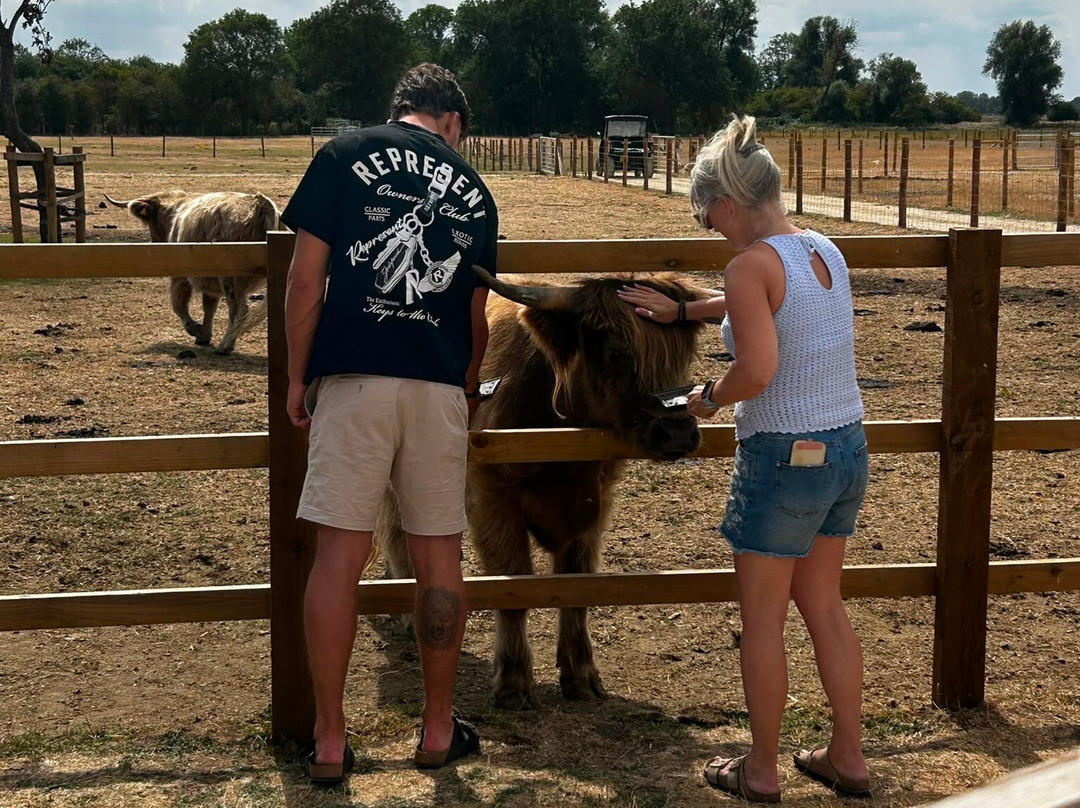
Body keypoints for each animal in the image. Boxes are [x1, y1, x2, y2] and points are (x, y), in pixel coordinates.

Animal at [104, 190, 280, 353]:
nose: (153, 242)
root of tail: (260, 204)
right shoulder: (210, 282)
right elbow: (209, 307)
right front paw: (204, 335)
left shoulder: (181, 275)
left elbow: (178, 304)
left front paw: (195, 329)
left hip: (230, 277)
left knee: (239, 310)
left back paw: (225, 346)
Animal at [376, 267, 708, 710]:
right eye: (615, 353)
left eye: (682, 355)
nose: (679, 433)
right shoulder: (492, 499)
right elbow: (514, 585)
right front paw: (514, 681)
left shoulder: (595, 504)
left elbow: (576, 586)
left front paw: (580, 675)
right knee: (396, 527)